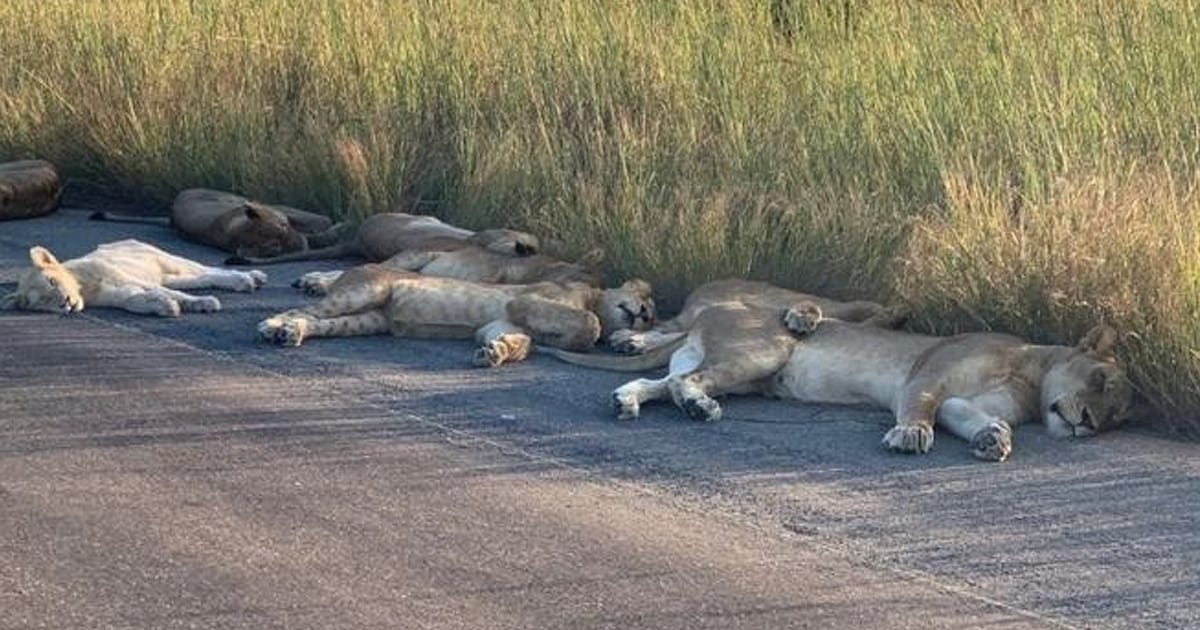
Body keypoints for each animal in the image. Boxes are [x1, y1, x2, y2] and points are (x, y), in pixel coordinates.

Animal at [0, 239, 268, 317]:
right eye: (43, 302)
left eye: (52, 282)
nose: (65, 302)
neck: (84, 288)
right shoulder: (119, 294)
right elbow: (134, 301)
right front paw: (164, 307)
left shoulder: (127, 277)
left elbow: (175, 294)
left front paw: (203, 303)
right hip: (170, 275)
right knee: (201, 278)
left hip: (167, 259)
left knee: (210, 269)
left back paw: (250, 278)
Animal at [256, 264, 655, 367]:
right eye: (645, 300)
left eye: (652, 316)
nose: (643, 314)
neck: (592, 296)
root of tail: (354, 268)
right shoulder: (524, 301)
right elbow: (591, 324)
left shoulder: (499, 322)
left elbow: (520, 342)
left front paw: (495, 353)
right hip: (366, 290)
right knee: (303, 308)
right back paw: (271, 326)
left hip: (367, 320)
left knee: (319, 322)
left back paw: (292, 333)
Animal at [550, 302, 1132, 462]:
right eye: (1100, 378)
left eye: (1117, 418)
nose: (1087, 423)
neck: (1030, 374)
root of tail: (708, 312)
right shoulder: (926, 375)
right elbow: (919, 407)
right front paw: (910, 435)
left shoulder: (961, 401)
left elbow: (970, 417)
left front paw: (994, 439)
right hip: (764, 350)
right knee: (685, 382)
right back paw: (698, 408)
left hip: (742, 371)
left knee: (661, 382)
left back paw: (627, 401)